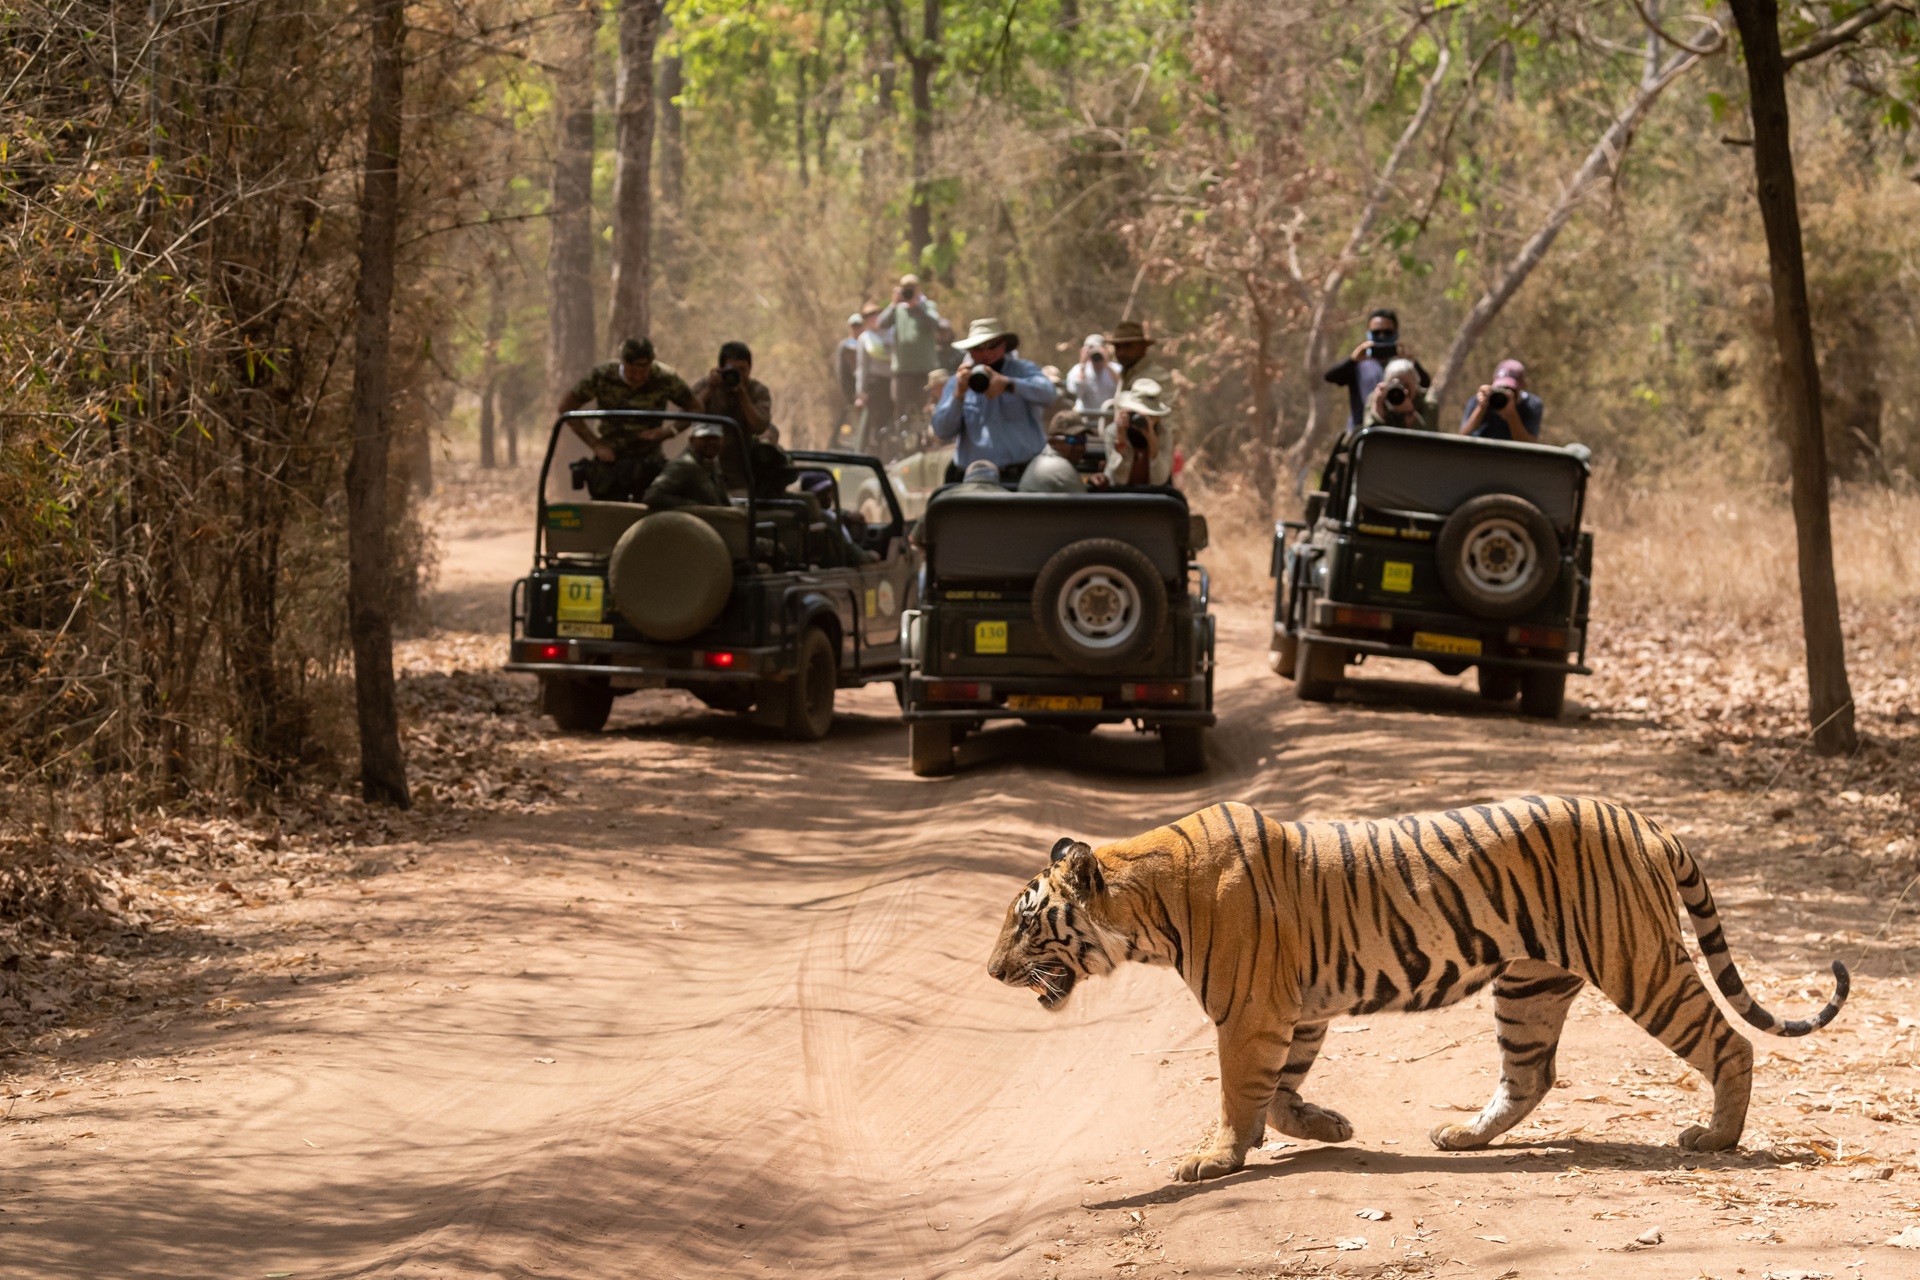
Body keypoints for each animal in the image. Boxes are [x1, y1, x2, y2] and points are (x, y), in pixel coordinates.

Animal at [986, 796, 1848, 1183]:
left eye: (1026, 924)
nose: (992, 972)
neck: (1147, 906)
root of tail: (1644, 819)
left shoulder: (1251, 1010)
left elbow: (1237, 1090)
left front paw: (1219, 1156)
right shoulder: (1296, 1009)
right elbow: (1280, 1091)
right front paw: (1326, 1126)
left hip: (1640, 963)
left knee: (1729, 1042)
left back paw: (1717, 1138)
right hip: (1530, 987)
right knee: (1530, 1074)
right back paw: (1462, 1136)